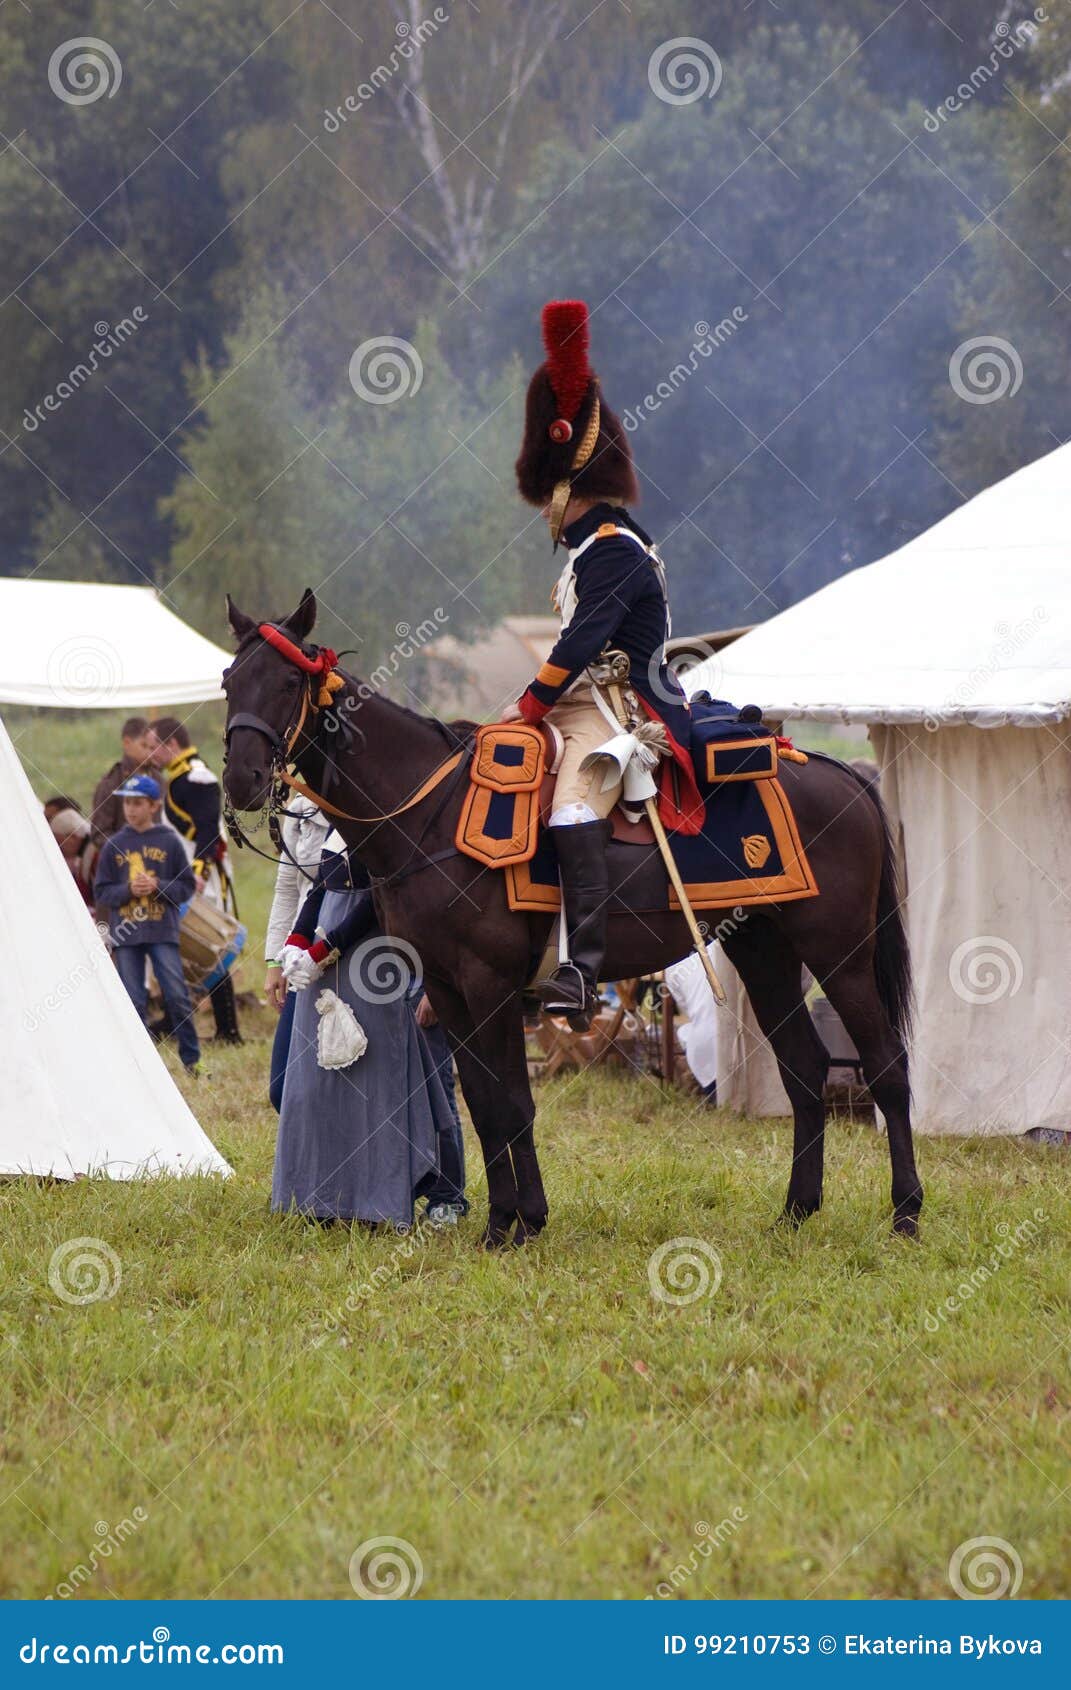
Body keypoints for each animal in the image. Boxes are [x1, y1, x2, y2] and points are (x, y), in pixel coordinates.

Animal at [219, 591, 918, 1243]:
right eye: (228, 681)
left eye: (288, 683)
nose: (241, 780)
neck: (426, 812)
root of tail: (839, 774)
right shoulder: (446, 988)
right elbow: (482, 1104)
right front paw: (502, 1220)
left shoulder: (490, 985)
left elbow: (512, 1103)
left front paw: (522, 1221)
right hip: (765, 952)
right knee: (805, 1068)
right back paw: (796, 1211)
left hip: (841, 956)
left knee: (886, 1064)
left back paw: (906, 1214)